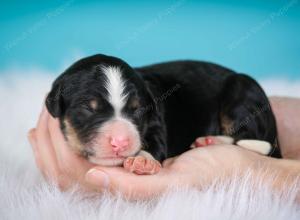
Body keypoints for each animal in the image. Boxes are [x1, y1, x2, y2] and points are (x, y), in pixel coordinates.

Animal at [45, 54, 282, 174]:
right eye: (88, 109)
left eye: (138, 109)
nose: (121, 142)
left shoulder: (156, 123)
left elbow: (155, 143)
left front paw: (143, 160)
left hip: (241, 93)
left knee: (256, 140)